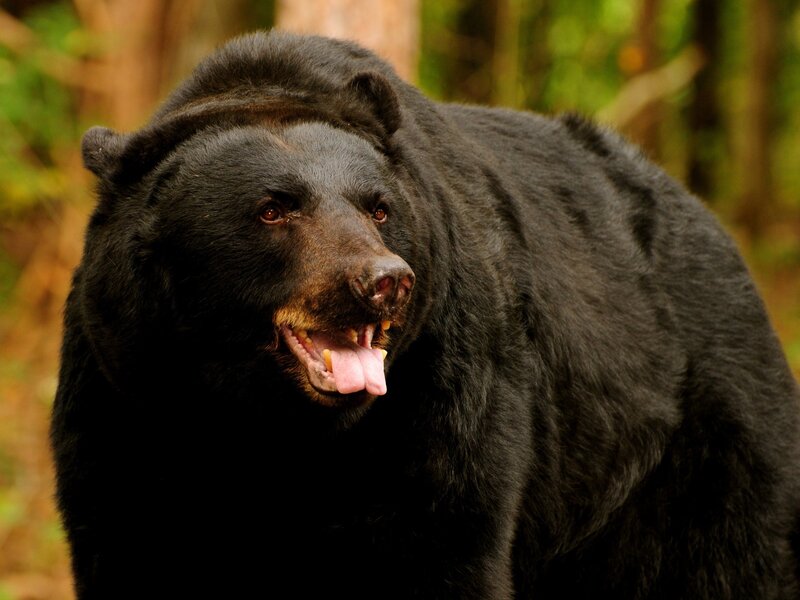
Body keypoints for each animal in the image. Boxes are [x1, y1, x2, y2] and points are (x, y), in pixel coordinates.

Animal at [51, 30, 800, 599]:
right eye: (273, 208)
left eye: (378, 206)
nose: (385, 282)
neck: (269, 428)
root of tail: (707, 218)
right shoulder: (129, 397)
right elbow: (132, 543)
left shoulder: (436, 401)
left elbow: (434, 542)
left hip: (697, 436)